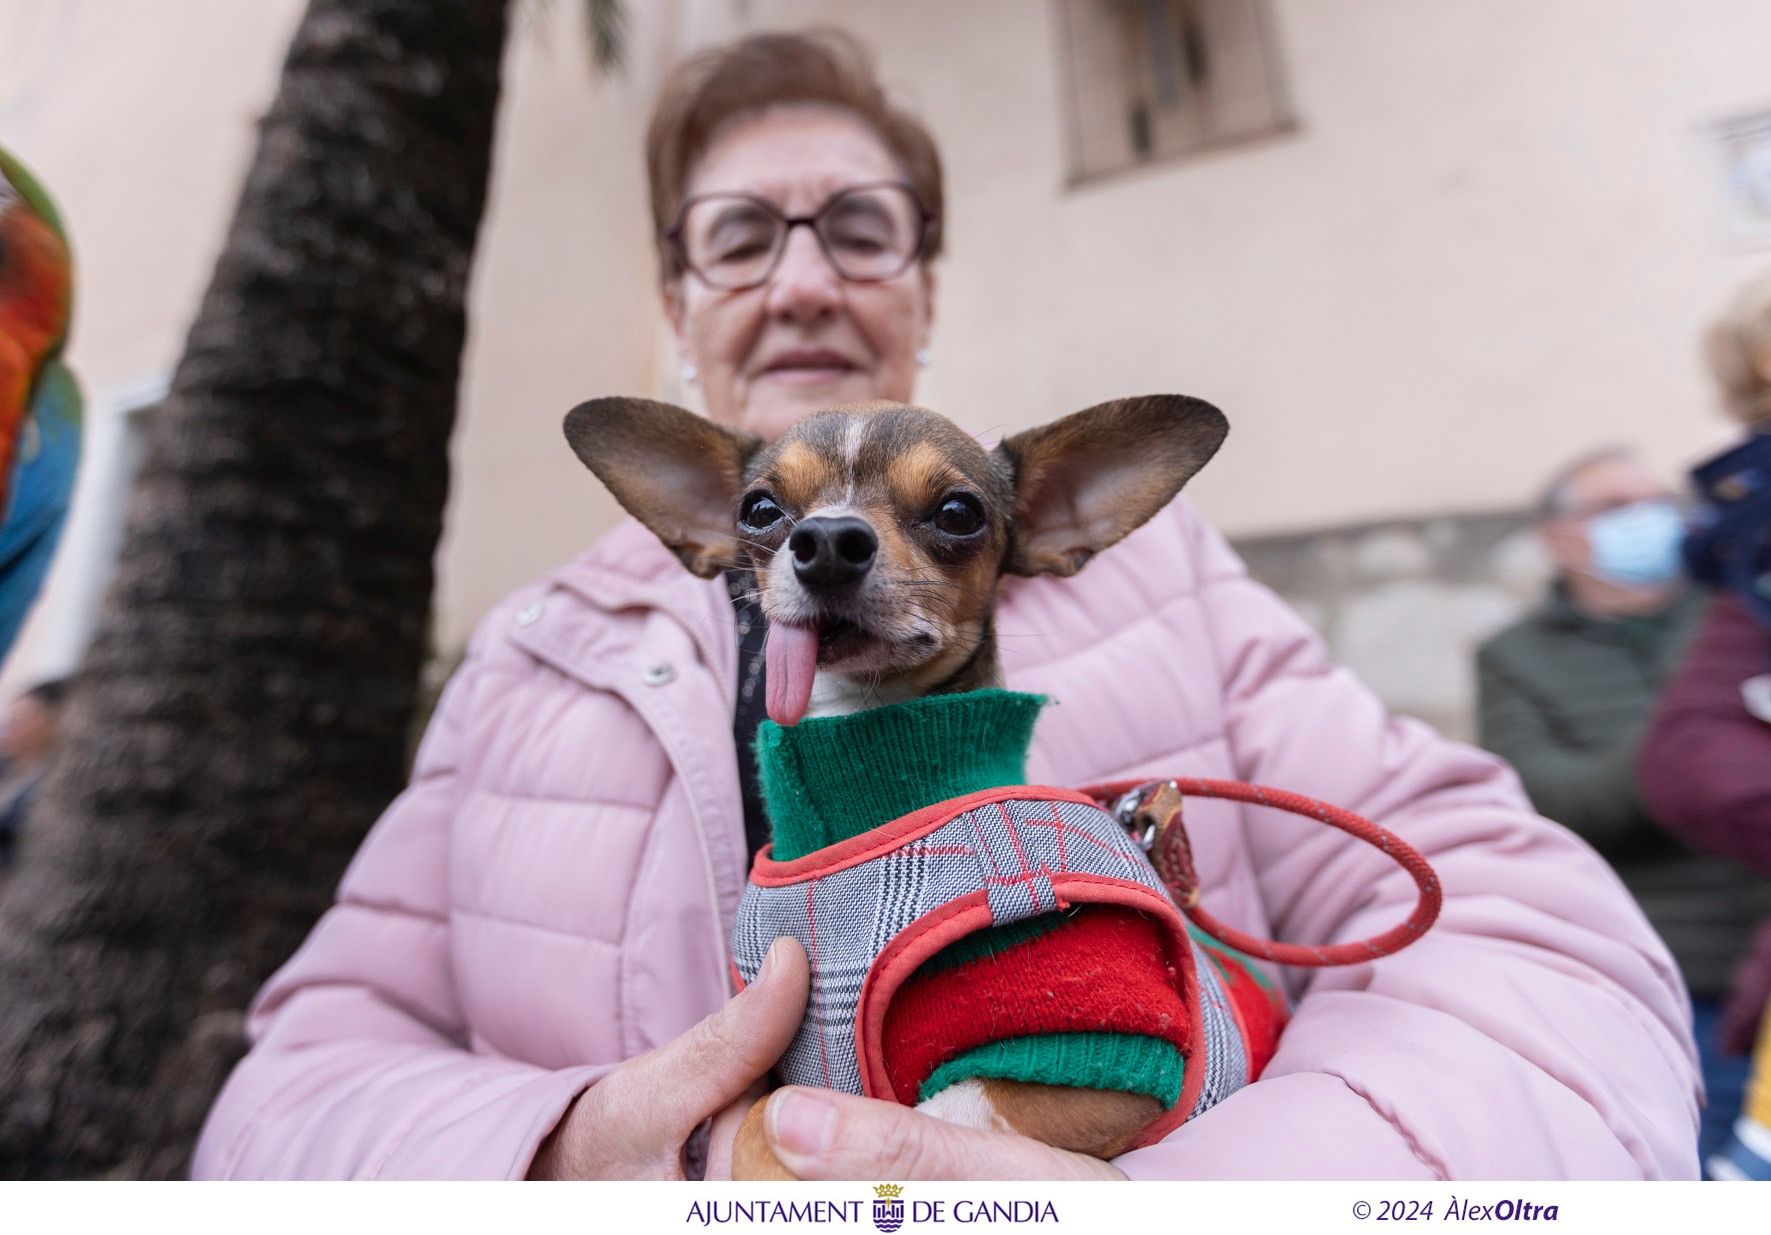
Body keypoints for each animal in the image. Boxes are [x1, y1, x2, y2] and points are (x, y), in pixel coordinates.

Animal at [566, 395, 1232, 1176]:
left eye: (958, 512)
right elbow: (759, 1115)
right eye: (760, 509)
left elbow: (911, 1109)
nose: (826, 539)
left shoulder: (1107, 1065)